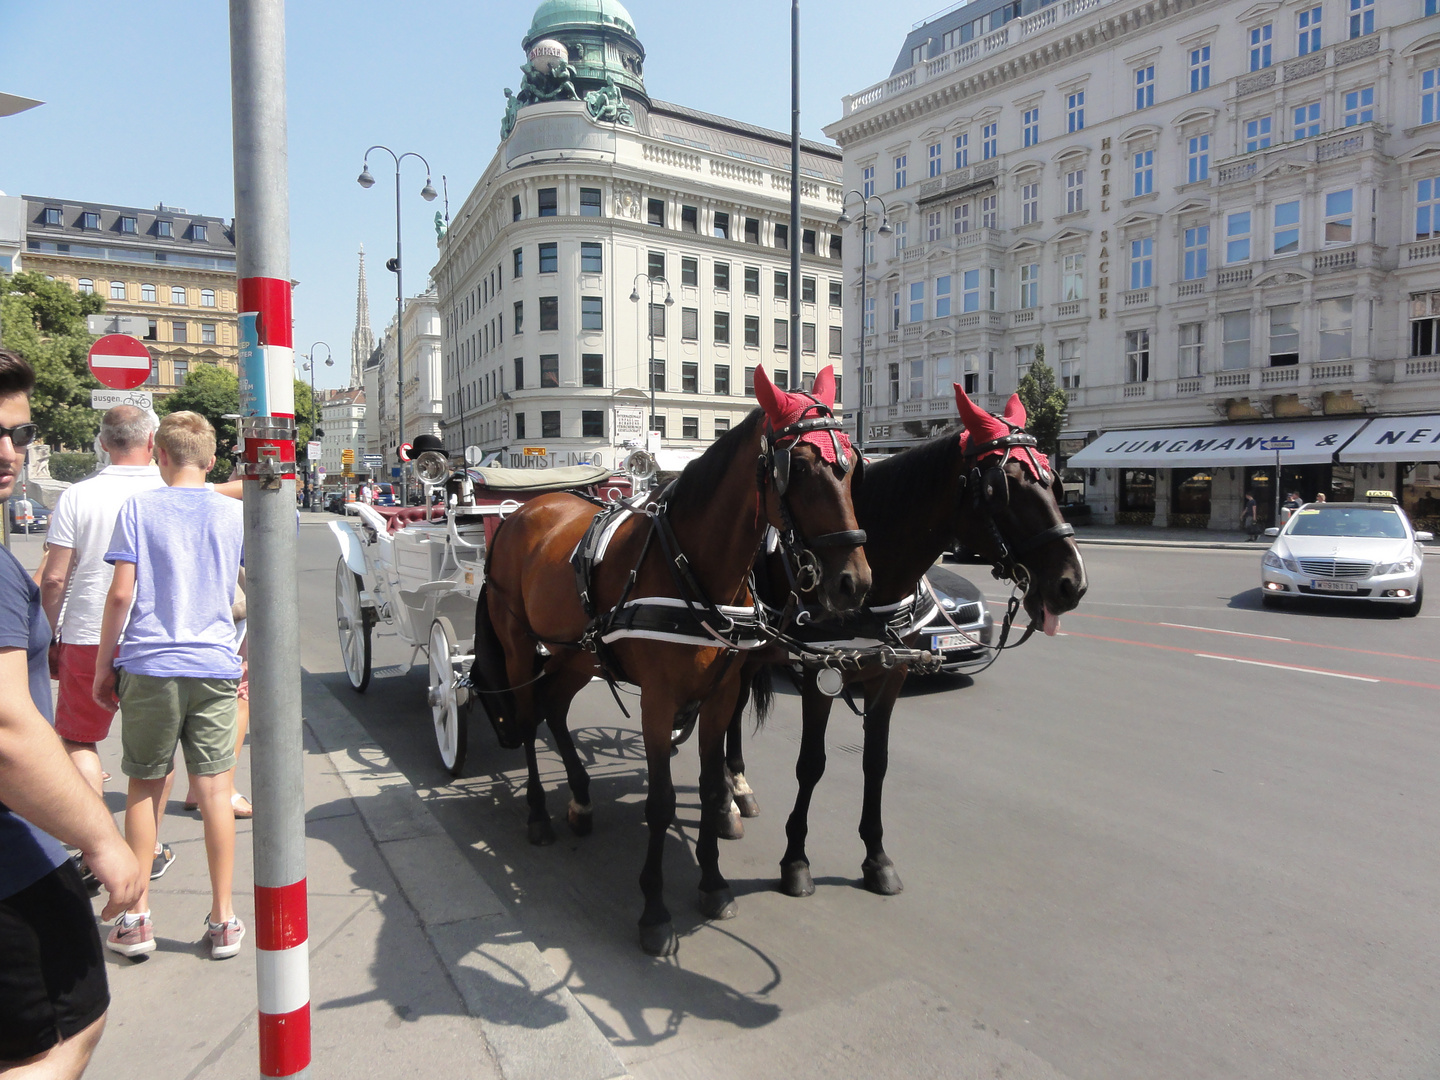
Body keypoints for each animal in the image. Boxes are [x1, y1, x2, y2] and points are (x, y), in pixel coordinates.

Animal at [469, 365, 864, 956]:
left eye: (854, 463)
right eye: (800, 466)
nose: (854, 583)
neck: (691, 565)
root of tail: (526, 510)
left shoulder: (721, 697)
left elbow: (709, 785)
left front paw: (713, 881)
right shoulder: (658, 703)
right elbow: (658, 803)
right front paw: (654, 911)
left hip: (576, 654)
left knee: (552, 709)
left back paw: (581, 797)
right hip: (519, 644)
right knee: (526, 710)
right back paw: (539, 812)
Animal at [725, 385, 1082, 898]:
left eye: (1053, 480)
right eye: (1004, 486)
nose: (1072, 583)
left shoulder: (889, 674)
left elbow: (876, 762)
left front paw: (876, 857)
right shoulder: (818, 673)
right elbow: (811, 763)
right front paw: (795, 860)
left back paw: (737, 786)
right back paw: (728, 799)